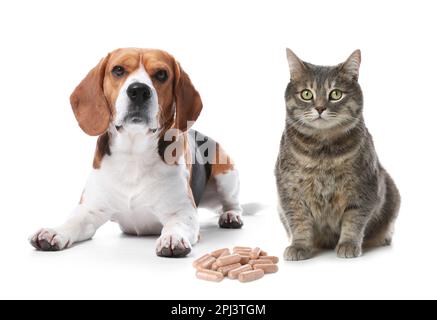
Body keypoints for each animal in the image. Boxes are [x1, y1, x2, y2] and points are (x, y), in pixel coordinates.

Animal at [29, 48, 244, 258]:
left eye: (162, 74)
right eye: (118, 70)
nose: (139, 90)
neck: (133, 154)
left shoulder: (183, 212)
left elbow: (177, 225)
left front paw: (172, 237)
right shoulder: (90, 210)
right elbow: (72, 222)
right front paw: (54, 231)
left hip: (226, 175)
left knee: (232, 202)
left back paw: (231, 216)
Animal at [276, 50, 398, 260]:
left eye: (335, 94)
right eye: (306, 94)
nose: (319, 108)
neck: (322, 153)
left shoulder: (363, 188)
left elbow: (354, 221)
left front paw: (348, 244)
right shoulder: (290, 191)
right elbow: (299, 222)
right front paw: (299, 246)